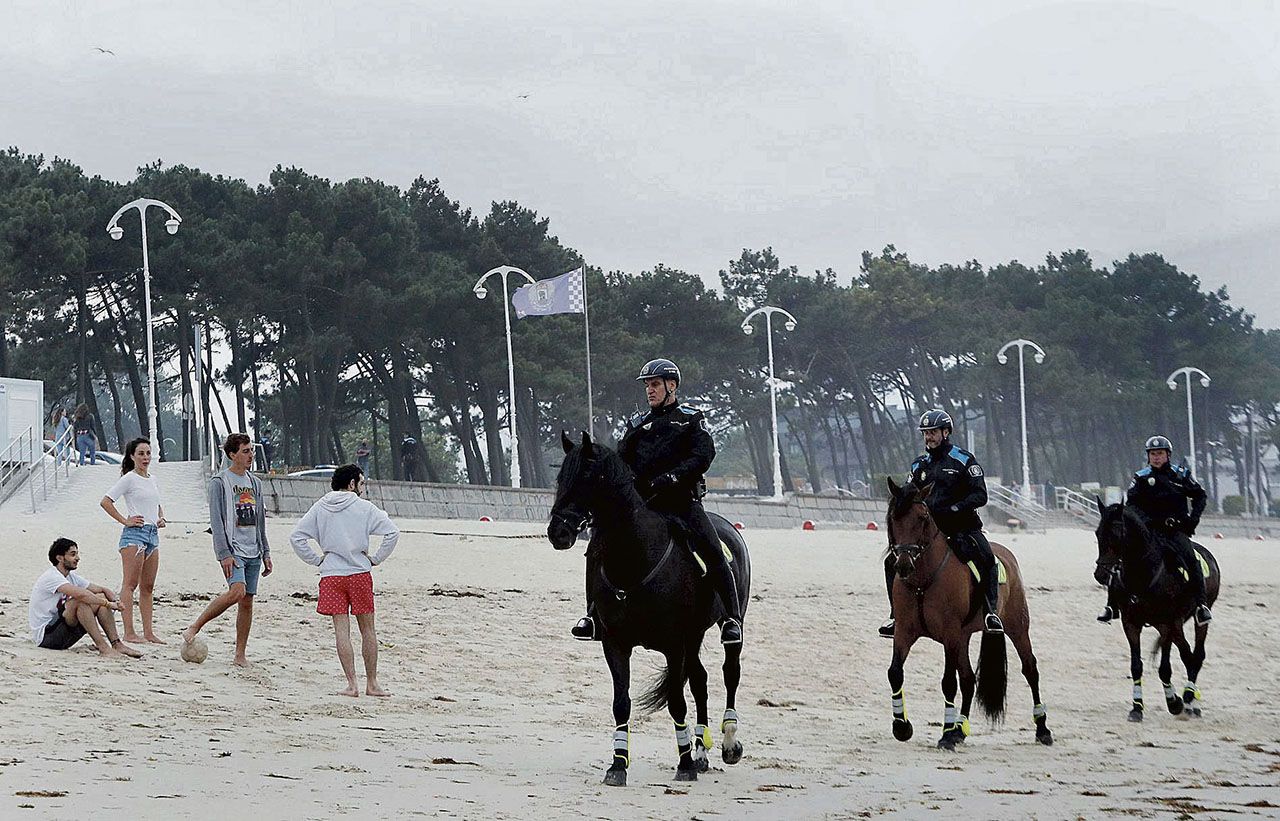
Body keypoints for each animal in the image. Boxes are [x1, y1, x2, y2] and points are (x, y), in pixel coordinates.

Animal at [547, 432, 747, 783]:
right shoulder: (616, 644)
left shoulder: (674, 644)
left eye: (586, 477)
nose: (557, 531)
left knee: (729, 673)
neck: (636, 556)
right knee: (701, 681)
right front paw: (618, 764)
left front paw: (683, 764)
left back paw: (728, 743)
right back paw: (701, 752)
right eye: (560, 478)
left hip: (725, 624)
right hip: (694, 636)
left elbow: (677, 703)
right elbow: (621, 703)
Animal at [885, 476, 1054, 753]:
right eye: (892, 518)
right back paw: (959, 731)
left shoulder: (950, 635)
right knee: (968, 679)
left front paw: (944, 735)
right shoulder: (905, 632)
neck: (923, 579)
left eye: (922, 517)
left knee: (1030, 669)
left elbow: (948, 683)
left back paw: (1042, 729)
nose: (903, 564)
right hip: (963, 637)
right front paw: (902, 726)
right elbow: (895, 673)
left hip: (1017, 627)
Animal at [1090, 496, 1218, 722]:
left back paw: (1191, 701)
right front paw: (1137, 707)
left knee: (1197, 654)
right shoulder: (1131, 624)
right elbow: (1136, 666)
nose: (1101, 574)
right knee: (1188, 654)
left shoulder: (1167, 623)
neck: (1144, 574)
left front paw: (1176, 701)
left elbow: (1170, 666)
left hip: (1195, 617)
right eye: (1098, 533)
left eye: (1116, 534)